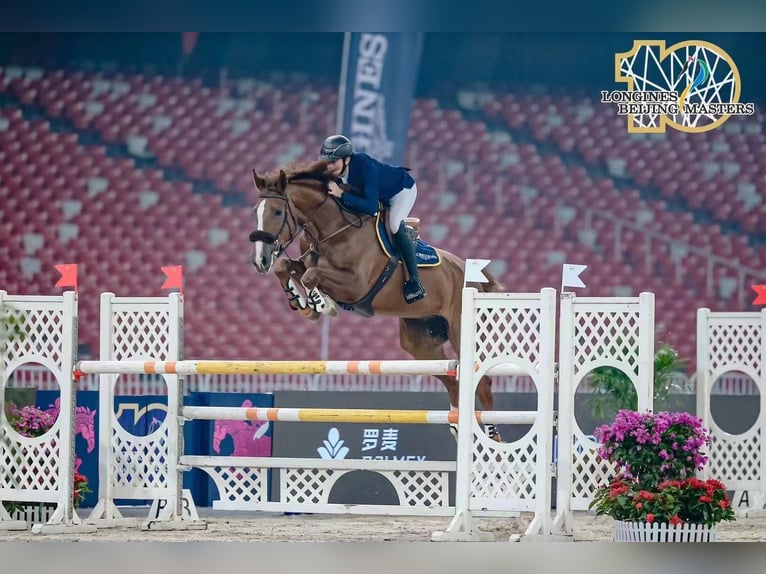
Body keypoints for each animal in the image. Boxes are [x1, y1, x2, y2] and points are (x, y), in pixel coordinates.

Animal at [249, 160, 508, 438]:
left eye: (277, 212)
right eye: (255, 212)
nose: (260, 260)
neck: (333, 229)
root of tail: (471, 275)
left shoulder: (356, 286)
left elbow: (311, 275)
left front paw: (320, 303)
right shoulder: (307, 262)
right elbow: (286, 267)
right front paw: (303, 304)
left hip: (460, 332)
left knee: (482, 382)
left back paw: (492, 434)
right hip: (420, 342)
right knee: (452, 378)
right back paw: (456, 425)